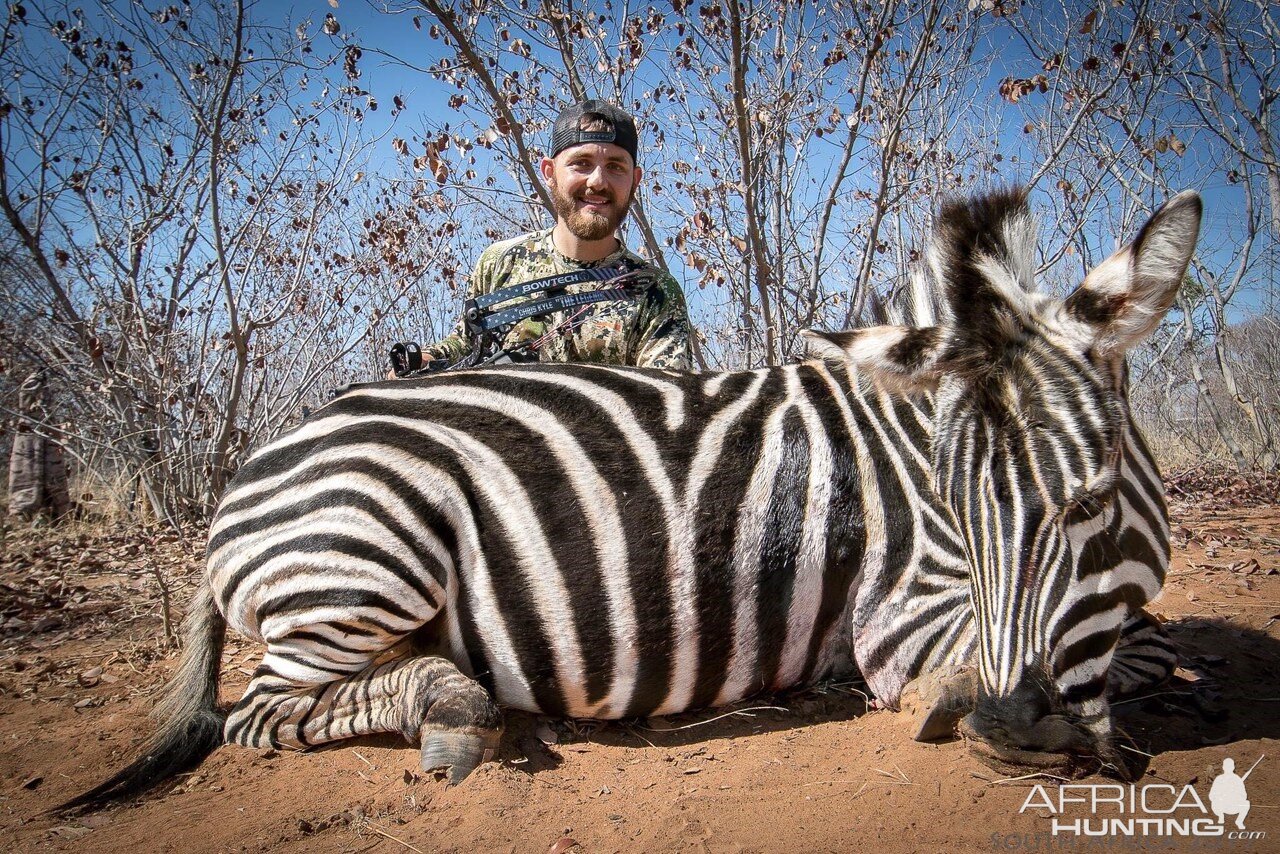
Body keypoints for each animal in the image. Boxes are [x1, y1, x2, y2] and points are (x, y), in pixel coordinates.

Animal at [62, 188, 1198, 814]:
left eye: (1091, 502)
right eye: (956, 510)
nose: (1012, 728)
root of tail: (255, 469)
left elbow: (1141, 635)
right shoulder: (902, 610)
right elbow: (1132, 647)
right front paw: (957, 696)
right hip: (371, 547)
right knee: (255, 714)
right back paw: (451, 712)